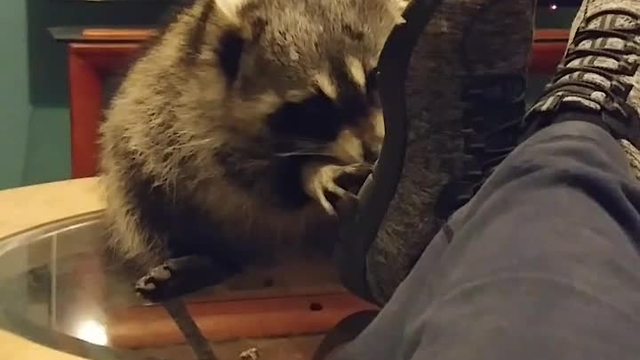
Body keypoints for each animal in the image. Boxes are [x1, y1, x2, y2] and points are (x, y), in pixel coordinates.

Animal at [101, 0, 410, 290]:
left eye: (378, 77)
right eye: (314, 109)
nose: (375, 152)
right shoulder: (197, 117)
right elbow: (245, 173)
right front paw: (314, 171)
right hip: (140, 135)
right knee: (141, 193)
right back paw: (205, 257)